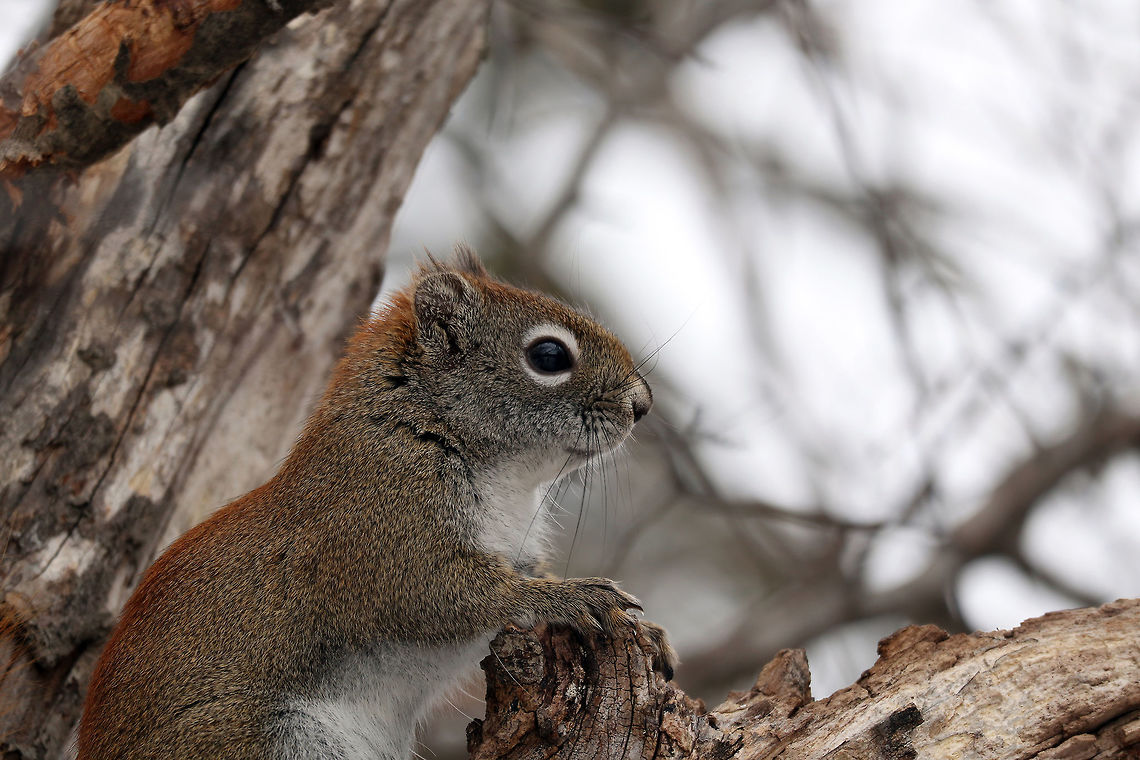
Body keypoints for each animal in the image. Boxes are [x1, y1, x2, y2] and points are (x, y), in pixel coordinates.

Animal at [77, 246, 676, 759]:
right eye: (548, 355)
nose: (642, 403)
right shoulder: (383, 528)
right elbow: (447, 595)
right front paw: (575, 597)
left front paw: (648, 631)